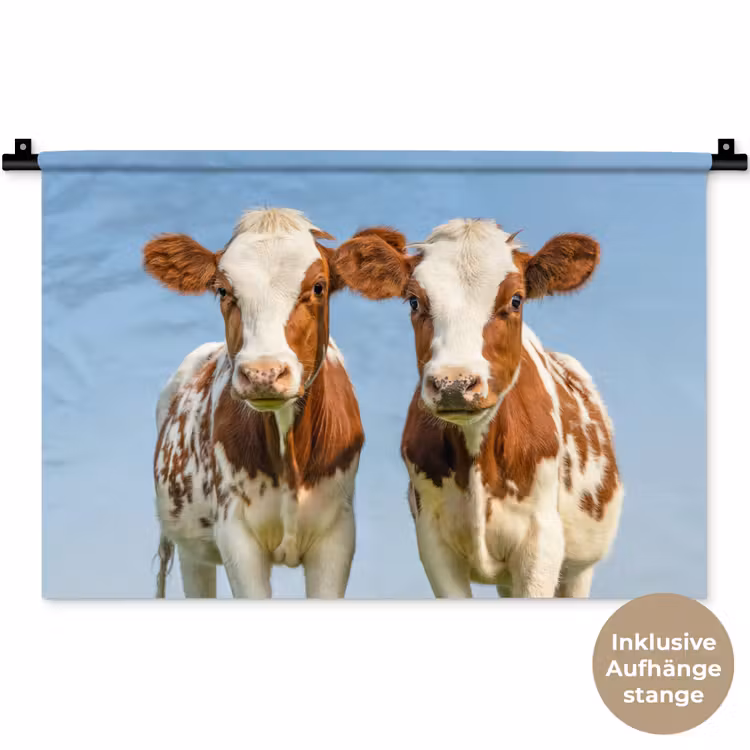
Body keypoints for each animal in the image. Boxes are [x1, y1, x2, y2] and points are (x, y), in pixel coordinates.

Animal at [143, 208, 364, 598]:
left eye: (318, 287)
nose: (263, 373)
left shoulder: (338, 535)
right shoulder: (236, 535)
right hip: (190, 549)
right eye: (222, 289)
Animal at [332, 220, 623, 597]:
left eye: (516, 299)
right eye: (414, 300)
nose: (454, 383)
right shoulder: (434, 543)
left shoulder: (541, 543)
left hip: (579, 567)